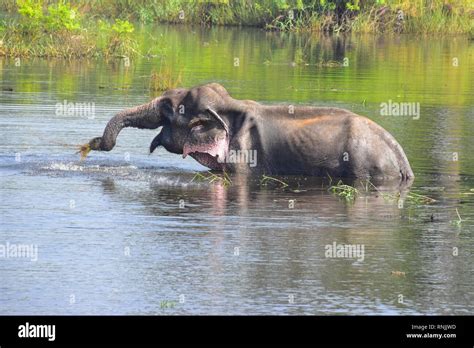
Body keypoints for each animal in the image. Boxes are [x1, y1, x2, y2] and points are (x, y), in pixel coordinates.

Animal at [80, 82, 414, 179]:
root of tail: (400, 156)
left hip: (364, 166)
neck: (230, 104)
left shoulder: (244, 152)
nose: (91, 144)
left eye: (170, 110)